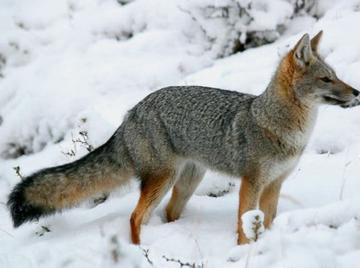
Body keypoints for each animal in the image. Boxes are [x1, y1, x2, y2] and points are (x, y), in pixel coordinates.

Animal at [7, 30, 358, 244]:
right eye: (327, 79)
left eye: (336, 76)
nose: (356, 92)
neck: (278, 125)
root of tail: (132, 111)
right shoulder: (252, 183)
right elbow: (245, 223)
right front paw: (245, 249)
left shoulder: (275, 183)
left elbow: (266, 221)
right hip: (163, 179)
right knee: (135, 217)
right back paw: (138, 252)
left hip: (187, 182)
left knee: (166, 214)